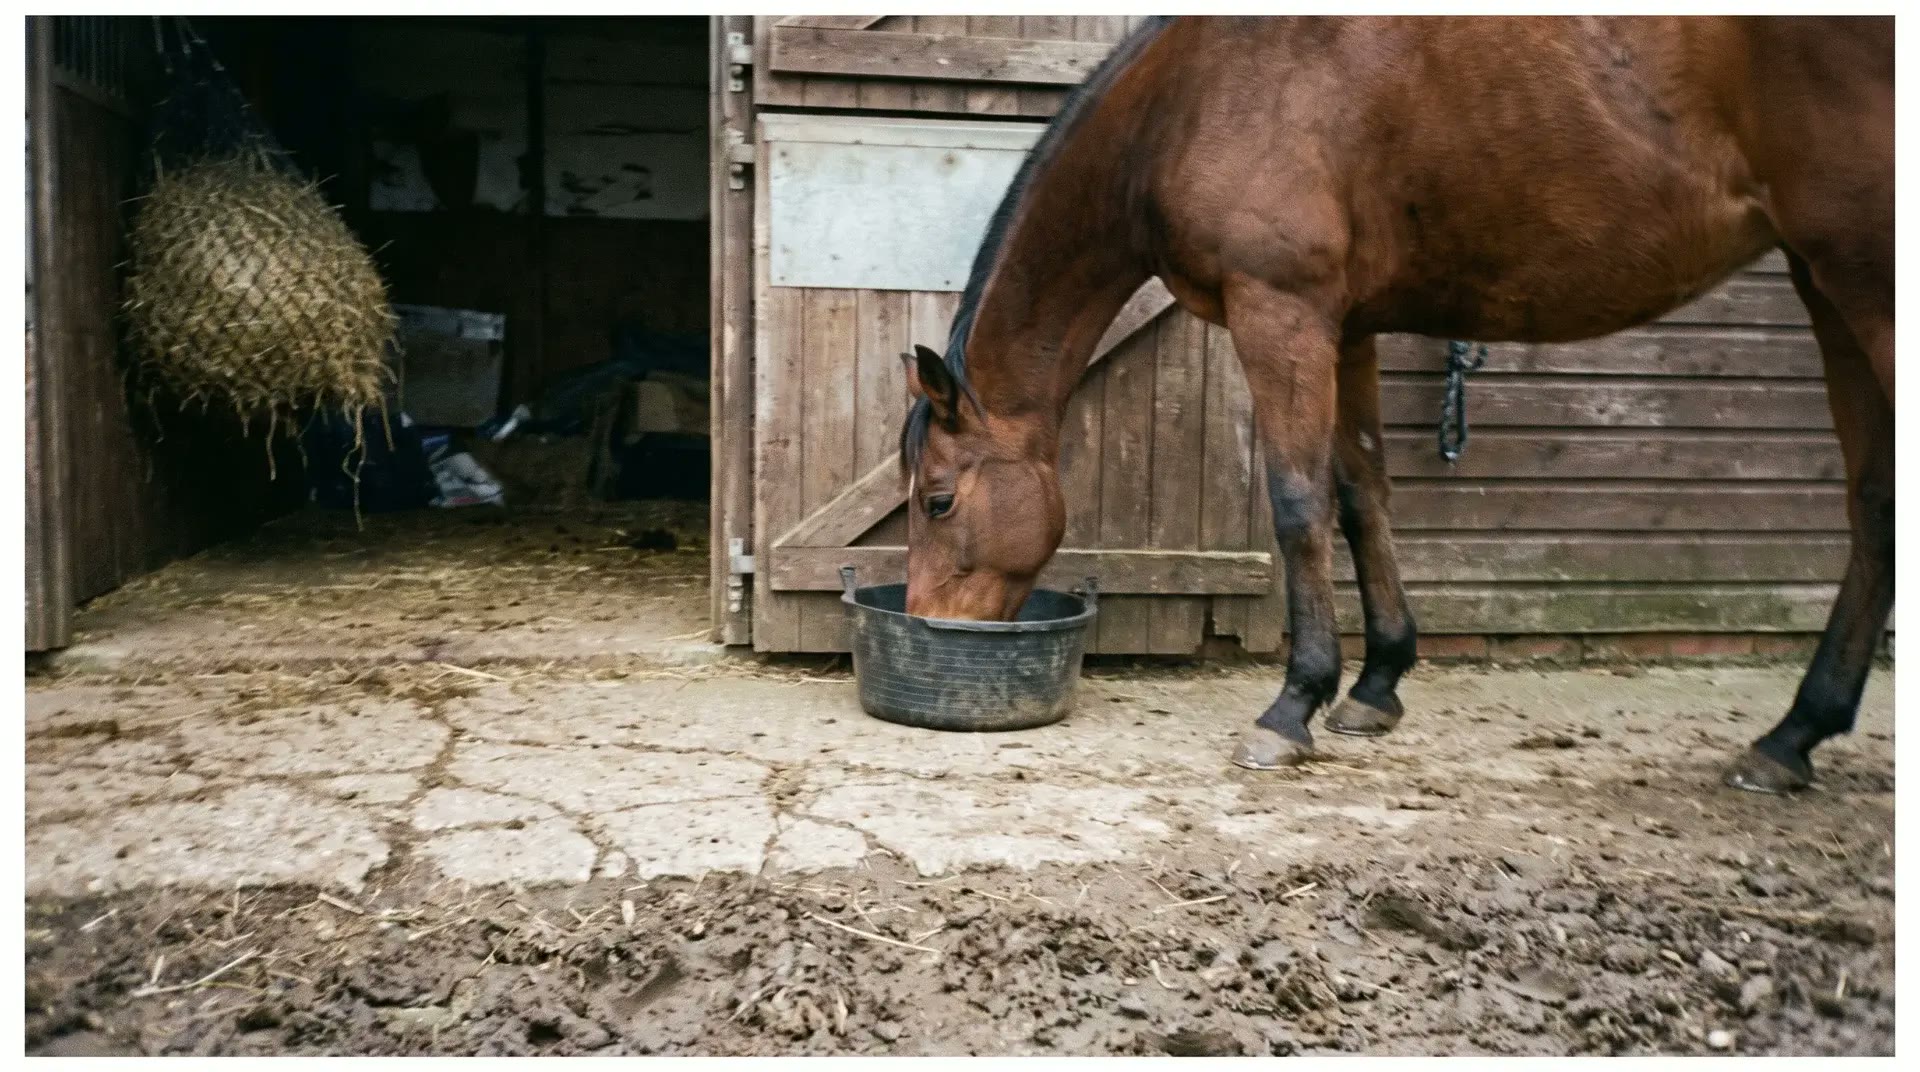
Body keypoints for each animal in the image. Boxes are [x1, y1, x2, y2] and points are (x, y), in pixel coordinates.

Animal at [897, 15, 1892, 795]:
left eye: (939, 500)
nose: (927, 620)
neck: (1190, 97)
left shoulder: (1281, 312)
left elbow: (1298, 503)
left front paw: (1293, 704)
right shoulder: (1347, 328)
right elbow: (1361, 496)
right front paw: (1377, 685)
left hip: (1862, 280)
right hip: (1827, 283)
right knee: (1875, 504)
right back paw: (1791, 739)